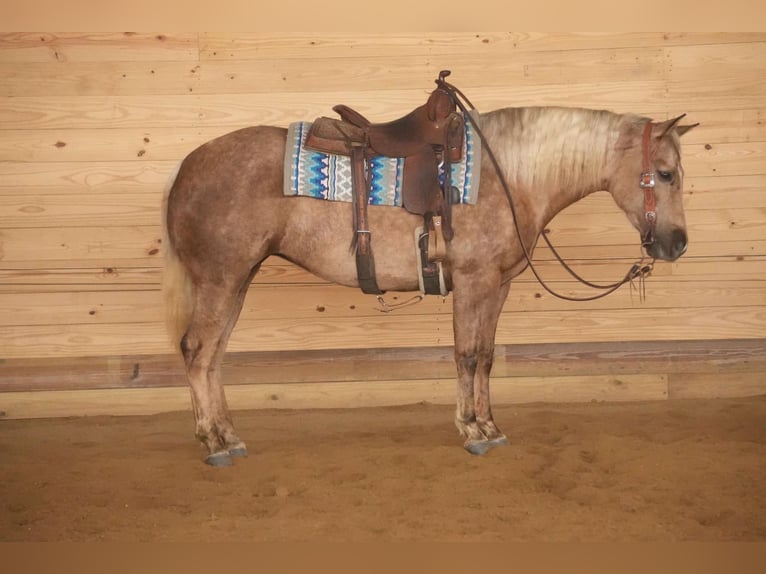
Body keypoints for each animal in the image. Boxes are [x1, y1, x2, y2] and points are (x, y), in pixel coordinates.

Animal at [164, 98, 704, 468]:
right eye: (665, 174)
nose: (676, 244)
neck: (511, 177)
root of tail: (188, 165)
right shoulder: (473, 280)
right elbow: (466, 355)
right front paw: (472, 431)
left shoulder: (498, 286)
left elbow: (485, 356)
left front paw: (490, 425)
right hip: (222, 278)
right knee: (197, 351)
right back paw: (214, 443)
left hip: (238, 280)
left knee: (213, 356)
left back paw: (228, 435)